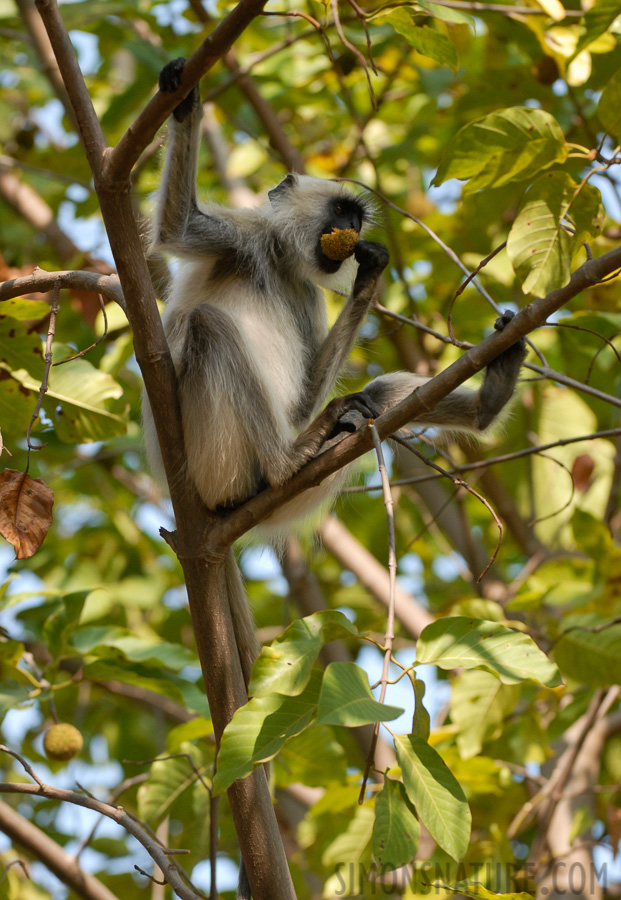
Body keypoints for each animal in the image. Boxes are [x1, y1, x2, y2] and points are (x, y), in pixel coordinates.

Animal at [143, 58, 524, 688]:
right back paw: (286, 461)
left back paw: (485, 398)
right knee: (210, 327)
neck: (276, 263)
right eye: (341, 212)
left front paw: (371, 273)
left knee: (373, 397)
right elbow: (176, 227)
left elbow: (303, 400)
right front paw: (185, 94)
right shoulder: (243, 238)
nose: (353, 233)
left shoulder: (304, 291)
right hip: (217, 461)